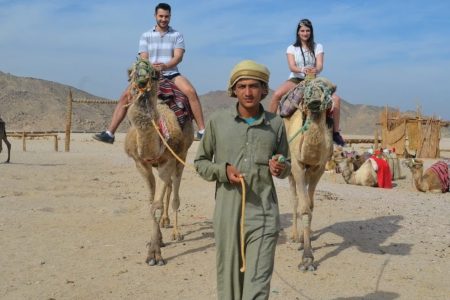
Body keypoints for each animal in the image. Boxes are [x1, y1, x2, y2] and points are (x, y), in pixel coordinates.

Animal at [124, 58, 194, 264]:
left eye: (155, 74)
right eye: (130, 72)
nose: (141, 77)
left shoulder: (168, 161)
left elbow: (157, 205)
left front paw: (154, 254)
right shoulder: (141, 164)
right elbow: (151, 202)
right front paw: (156, 242)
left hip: (182, 156)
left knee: (175, 192)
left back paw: (176, 232)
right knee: (168, 187)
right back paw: (165, 222)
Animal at [284, 77, 334, 272]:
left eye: (329, 90)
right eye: (307, 90)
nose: (314, 101)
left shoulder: (318, 168)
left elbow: (311, 206)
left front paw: (309, 247)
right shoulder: (297, 166)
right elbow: (304, 207)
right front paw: (306, 258)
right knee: (295, 199)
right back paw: (295, 236)